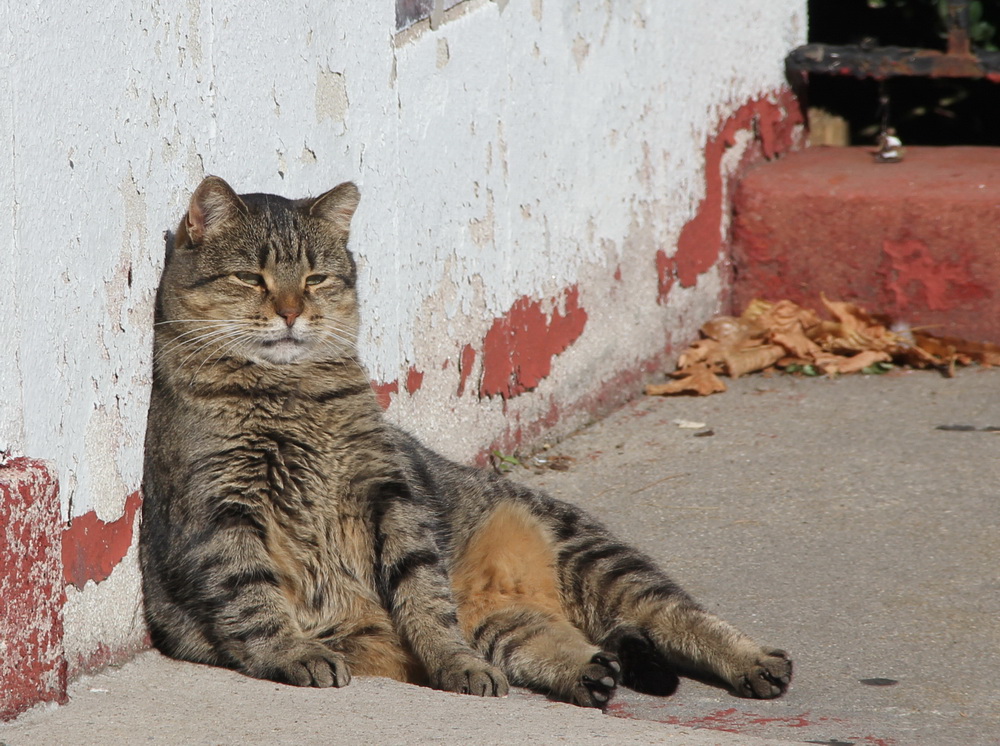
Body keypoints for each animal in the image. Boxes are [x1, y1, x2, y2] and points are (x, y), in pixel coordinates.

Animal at [141, 177, 792, 708]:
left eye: (315, 279)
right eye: (251, 277)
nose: (291, 312)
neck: (288, 393)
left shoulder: (390, 496)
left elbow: (425, 599)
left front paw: (450, 659)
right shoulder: (220, 514)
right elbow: (254, 601)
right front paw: (295, 651)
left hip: (597, 558)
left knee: (679, 615)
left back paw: (753, 660)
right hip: (510, 623)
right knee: (554, 641)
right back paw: (588, 671)